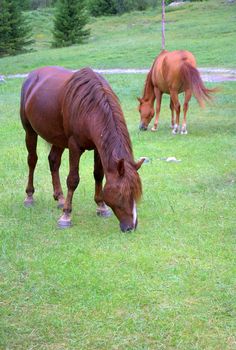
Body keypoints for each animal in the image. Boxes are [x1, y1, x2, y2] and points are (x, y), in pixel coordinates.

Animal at [20, 66, 144, 231]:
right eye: (122, 194)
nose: (131, 227)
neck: (90, 108)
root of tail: (32, 75)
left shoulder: (98, 147)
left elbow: (98, 174)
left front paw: (101, 206)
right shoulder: (74, 146)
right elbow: (73, 180)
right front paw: (66, 216)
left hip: (58, 139)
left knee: (53, 161)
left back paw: (60, 197)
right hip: (30, 131)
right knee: (32, 161)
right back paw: (29, 196)